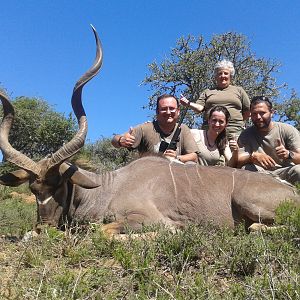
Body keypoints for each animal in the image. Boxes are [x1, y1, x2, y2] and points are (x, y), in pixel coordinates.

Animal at [0, 27, 298, 234]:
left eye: (59, 184)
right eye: (33, 189)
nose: (44, 228)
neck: (107, 188)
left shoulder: (149, 220)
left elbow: (103, 232)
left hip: (249, 203)